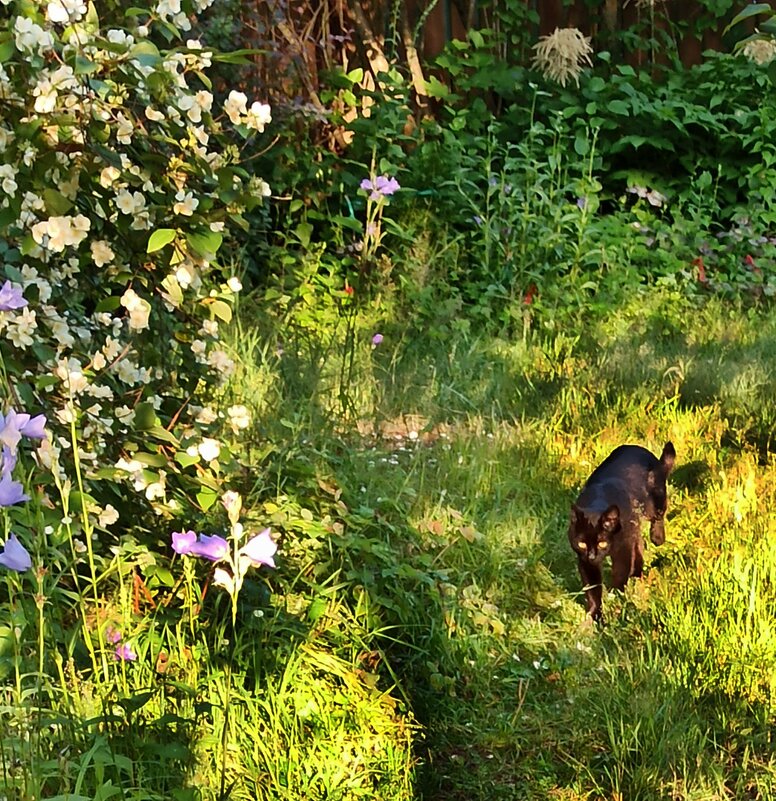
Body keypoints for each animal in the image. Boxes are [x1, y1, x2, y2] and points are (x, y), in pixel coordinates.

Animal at [568, 440, 676, 620]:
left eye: (602, 543)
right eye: (582, 544)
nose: (592, 556)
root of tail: (636, 447)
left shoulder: (623, 549)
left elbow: (620, 573)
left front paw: (616, 596)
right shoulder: (584, 561)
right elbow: (592, 589)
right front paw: (596, 615)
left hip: (656, 499)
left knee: (659, 515)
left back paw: (657, 538)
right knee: (639, 548)